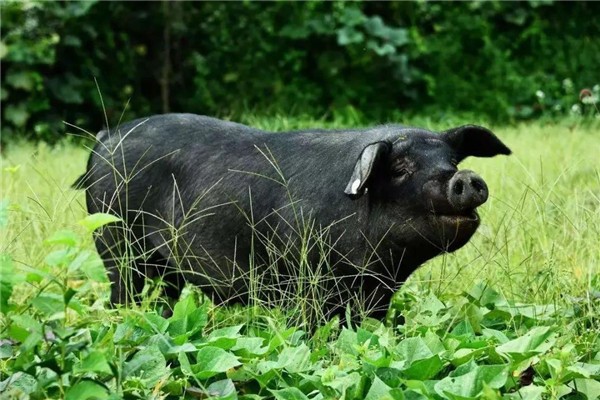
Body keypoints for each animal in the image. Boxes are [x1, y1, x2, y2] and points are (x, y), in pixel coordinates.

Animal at [72, 114, 508, 320]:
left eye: (451, 161)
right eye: (400, 167)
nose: (466, 178)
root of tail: (106, 138)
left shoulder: (376, 294)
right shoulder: (303, 280)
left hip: (165, 266)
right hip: (114, 240)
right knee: (122, 291)